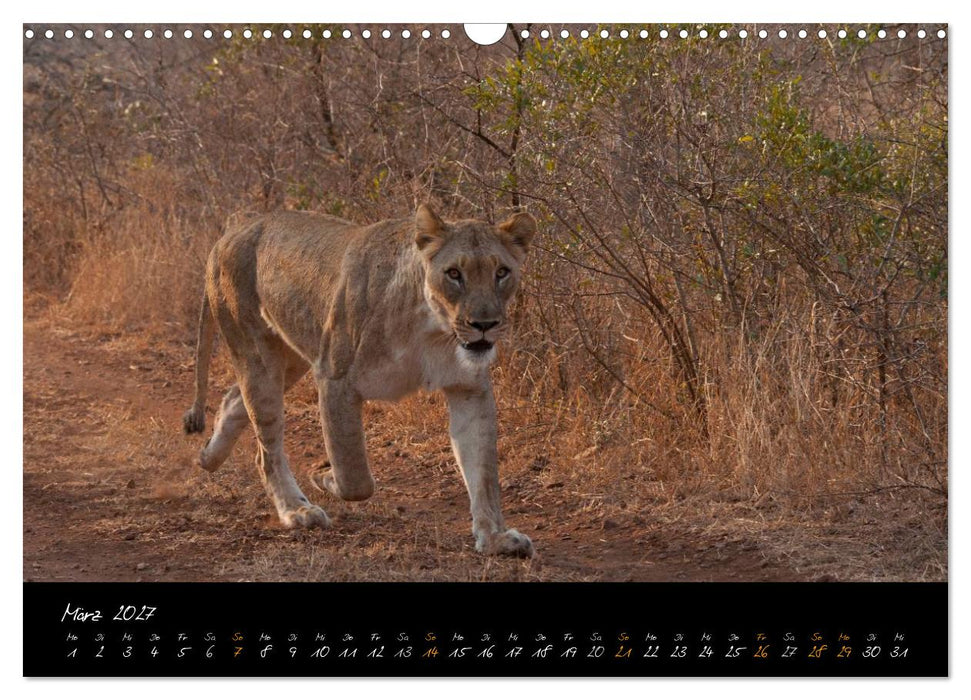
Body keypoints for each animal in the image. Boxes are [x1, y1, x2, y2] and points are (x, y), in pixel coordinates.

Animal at [182, 204, 536, 557]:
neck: (433, 330)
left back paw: (209, 456)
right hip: (259, 353)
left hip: (292, 355)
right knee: (267, 449)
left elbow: (483, 472)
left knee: (234, 400)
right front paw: (323, 474)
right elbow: (355, 477)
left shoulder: (469, 389)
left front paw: (495, 537)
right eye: (453, 274)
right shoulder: (335, 377)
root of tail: (229, 234)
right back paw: (296, 510)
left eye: (501, 272)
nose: (484, 325)